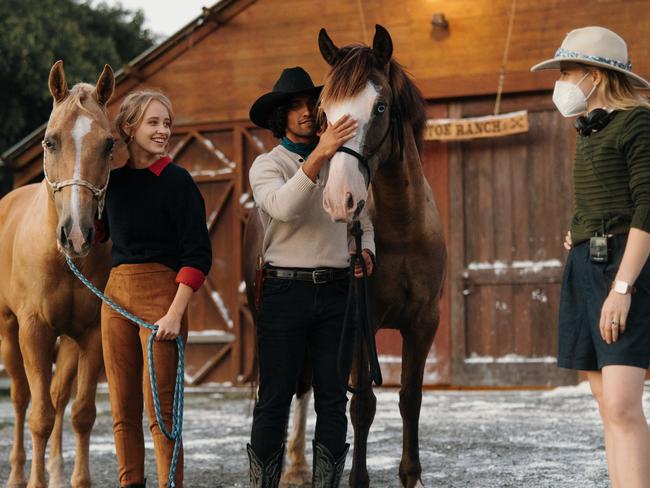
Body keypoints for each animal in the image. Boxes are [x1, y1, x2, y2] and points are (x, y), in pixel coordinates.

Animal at [0, 61, 114, 488]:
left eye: (109, 144)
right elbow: (39, 415)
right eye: (49, 142)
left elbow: (80, 413)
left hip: (67, 341)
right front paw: (33, 481)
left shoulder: (92, 333)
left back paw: (56, 469)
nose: (77, 234)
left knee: (59, 396)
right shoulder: (33, 330)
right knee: (21, 398)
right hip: (9, 331)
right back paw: (18, 472)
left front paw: (77, 479)